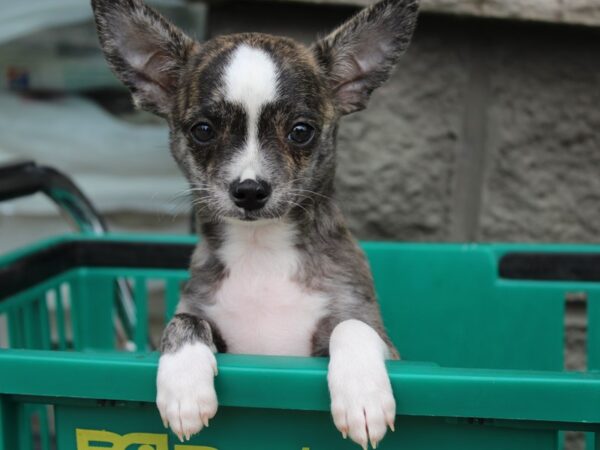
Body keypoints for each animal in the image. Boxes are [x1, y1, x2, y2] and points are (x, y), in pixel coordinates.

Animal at [91, 1, 418, 448]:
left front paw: (362, 396)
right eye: (203, 131)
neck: (261, 249)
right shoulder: (199, 311)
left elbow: (352, 327)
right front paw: (184, 388)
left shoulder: (377, 333)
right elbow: (183, 322)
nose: (249, 190)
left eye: (301, 132)